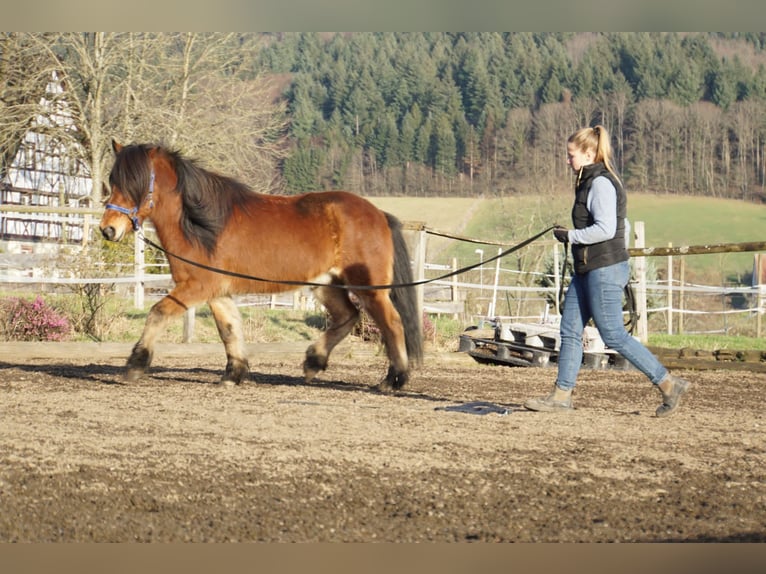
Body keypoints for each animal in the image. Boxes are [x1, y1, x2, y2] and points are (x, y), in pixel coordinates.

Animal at [98, 142, 424, 392]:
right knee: (348, 316)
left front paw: (134, 366)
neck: (201, 224)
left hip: (370, 288)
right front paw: (234, 373)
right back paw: (313, 362)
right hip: (325, 284)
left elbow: (157, 314)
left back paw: (393, 379)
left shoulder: (196, 287)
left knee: (391, 323)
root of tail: (378, 214)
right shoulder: (217, 291)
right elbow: (229, 329)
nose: (108, 229)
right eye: (113, 183)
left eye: (135, 185)